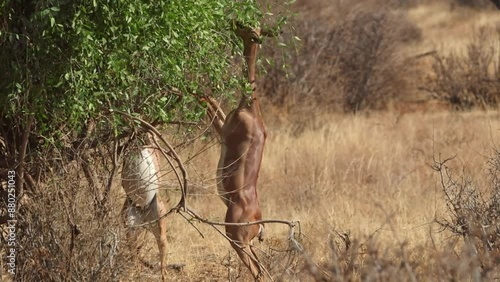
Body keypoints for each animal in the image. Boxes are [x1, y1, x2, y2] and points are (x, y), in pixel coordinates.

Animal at [121, 135, 169, 280]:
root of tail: (143, 212)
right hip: (130, 224)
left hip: (159, 221)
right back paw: (136, 271)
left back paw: (163, 274)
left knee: (162, 245)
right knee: (133, 248)